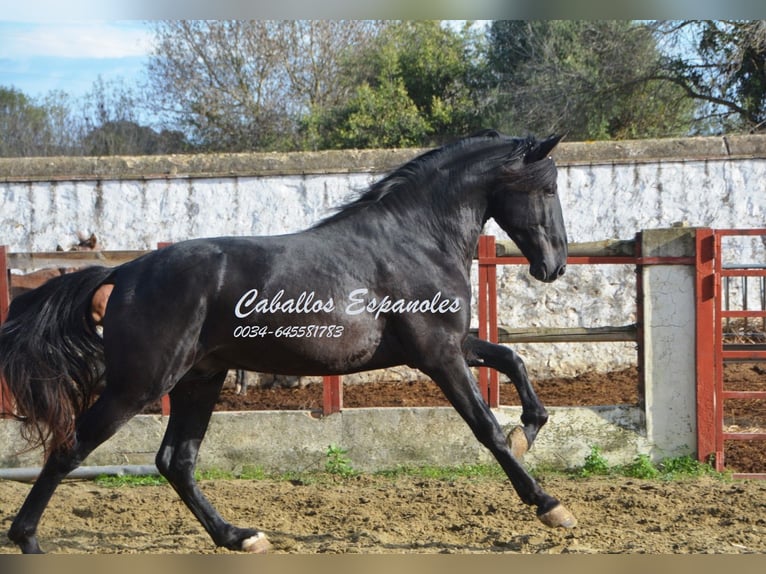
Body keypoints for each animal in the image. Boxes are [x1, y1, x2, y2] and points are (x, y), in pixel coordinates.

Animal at [0, 130, 576, 552]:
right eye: (547, 189)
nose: (555, 266)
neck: (414, 240)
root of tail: (125, 273)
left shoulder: (449, 345)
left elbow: (512, 359)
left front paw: (529, 430)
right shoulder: (437, 355)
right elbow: (487, 429)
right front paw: (550, 505)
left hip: (198, 379)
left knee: (175, 461)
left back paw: (238, 537)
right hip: (140, 385)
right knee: (72, 447)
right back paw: (27, 540)